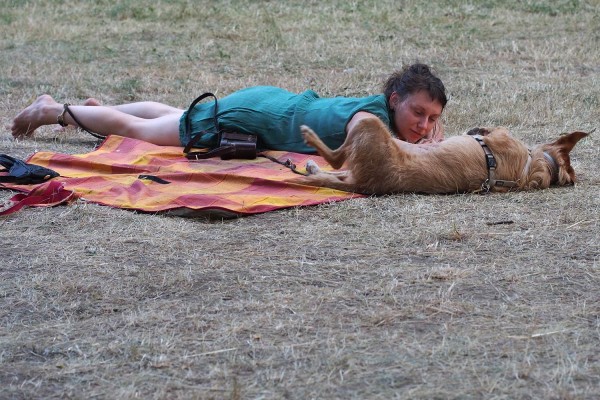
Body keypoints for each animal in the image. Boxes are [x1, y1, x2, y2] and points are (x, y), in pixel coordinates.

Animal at [298, 116, 588, 195]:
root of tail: (367, 185)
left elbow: (490, 131)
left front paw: (479, 129)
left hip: (367, 123)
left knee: (336, 161)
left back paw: (310, 139)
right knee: (335, 172)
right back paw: (312, 168)